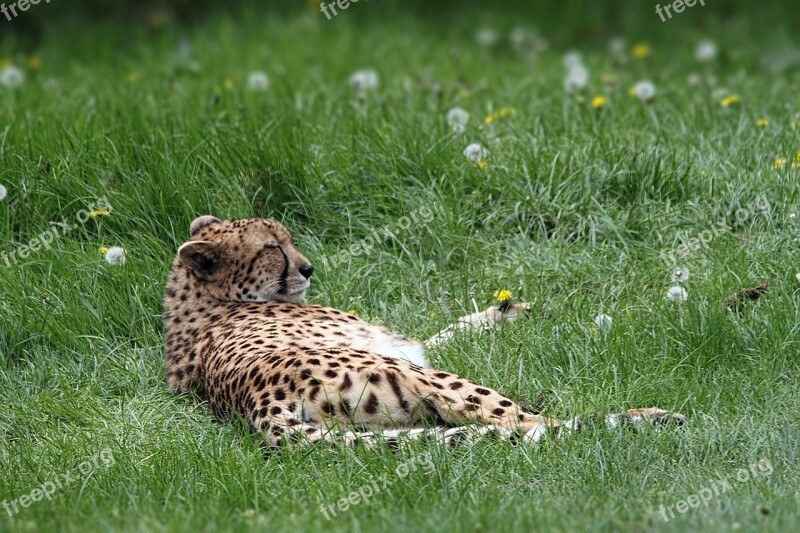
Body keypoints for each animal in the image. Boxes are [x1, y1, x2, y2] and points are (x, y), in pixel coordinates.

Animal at [164, 214, 688, 446]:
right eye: (272, 248)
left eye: (287, 239)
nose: (309, 268)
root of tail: (258, 410)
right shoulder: (401, 350)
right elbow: (440, 335)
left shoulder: (403, 344)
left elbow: (449, 329)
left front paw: (507, 311)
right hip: (429, 380)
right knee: (533, 425)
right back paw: (647, 417)